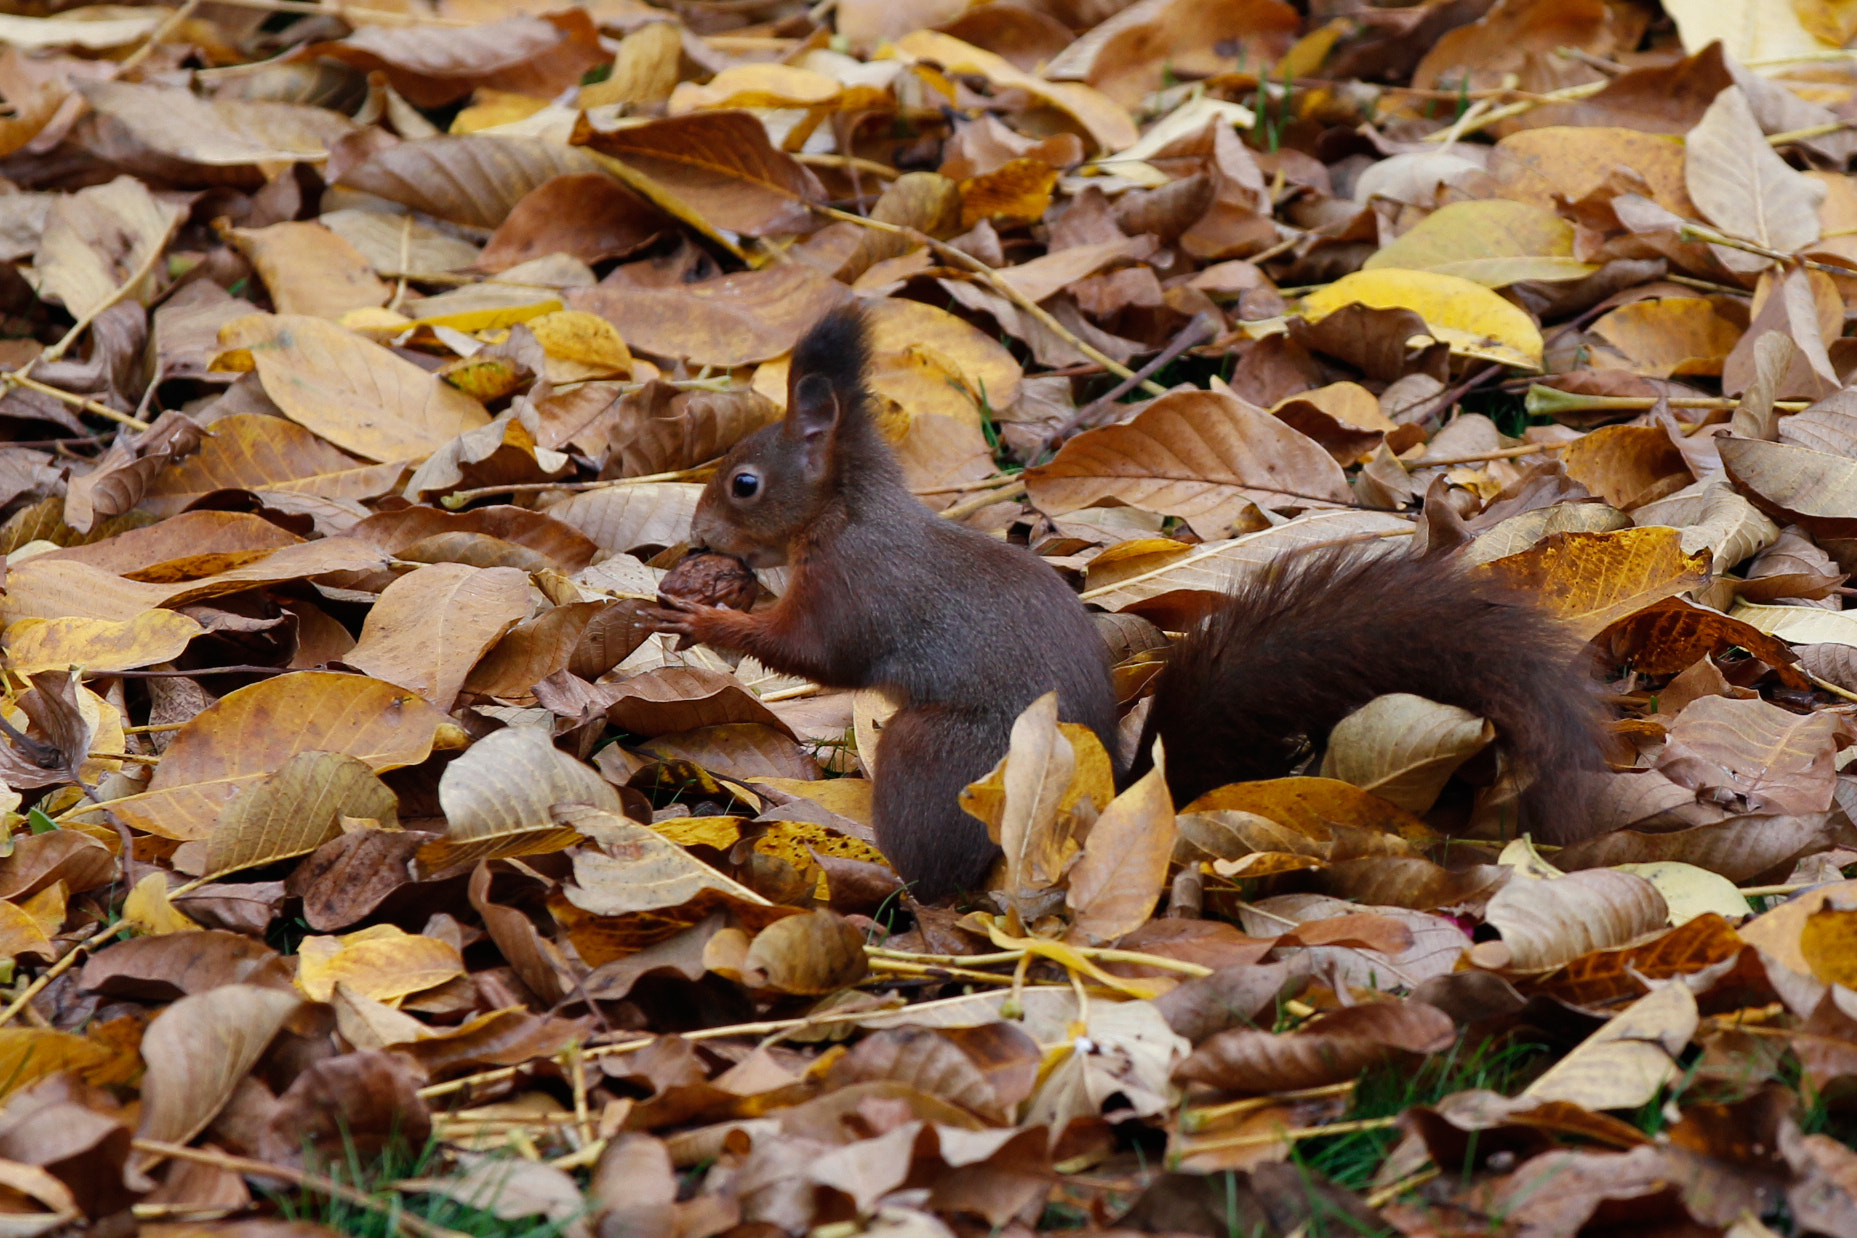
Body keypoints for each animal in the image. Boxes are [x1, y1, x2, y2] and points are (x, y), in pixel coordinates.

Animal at [648, 305, 1608, 901]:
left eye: (742, 483)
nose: (695, 536)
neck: (848, 512)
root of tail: (1095, 812)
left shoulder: (859, 587)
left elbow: (817, 654)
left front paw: (707, 617)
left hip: (942, 759)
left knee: (935, 874)